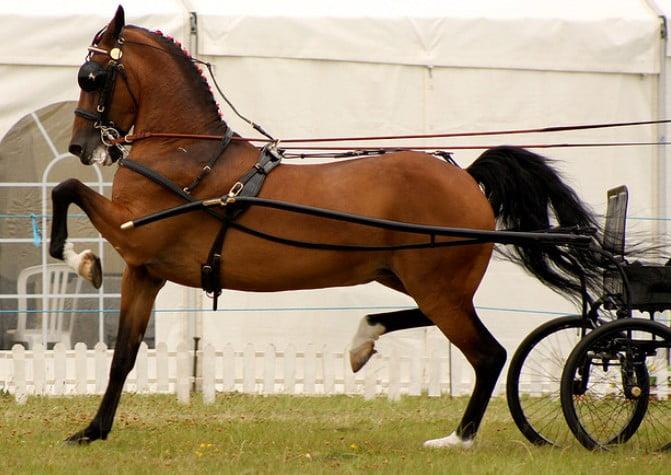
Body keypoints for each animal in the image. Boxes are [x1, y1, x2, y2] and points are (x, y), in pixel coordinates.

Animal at [53, 6, 604, 447]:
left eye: (92, 76)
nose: (81, 146)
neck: (187, 154)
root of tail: (465, 177)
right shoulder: (145, 270)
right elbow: (123, 356)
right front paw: (92, 431)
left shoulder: (133, 233)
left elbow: (67, 190)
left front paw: (82, 261)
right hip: (411, 278)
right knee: (440, 326)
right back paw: (366, 339)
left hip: (438, 288)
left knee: (488, 354)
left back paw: (458, 439)